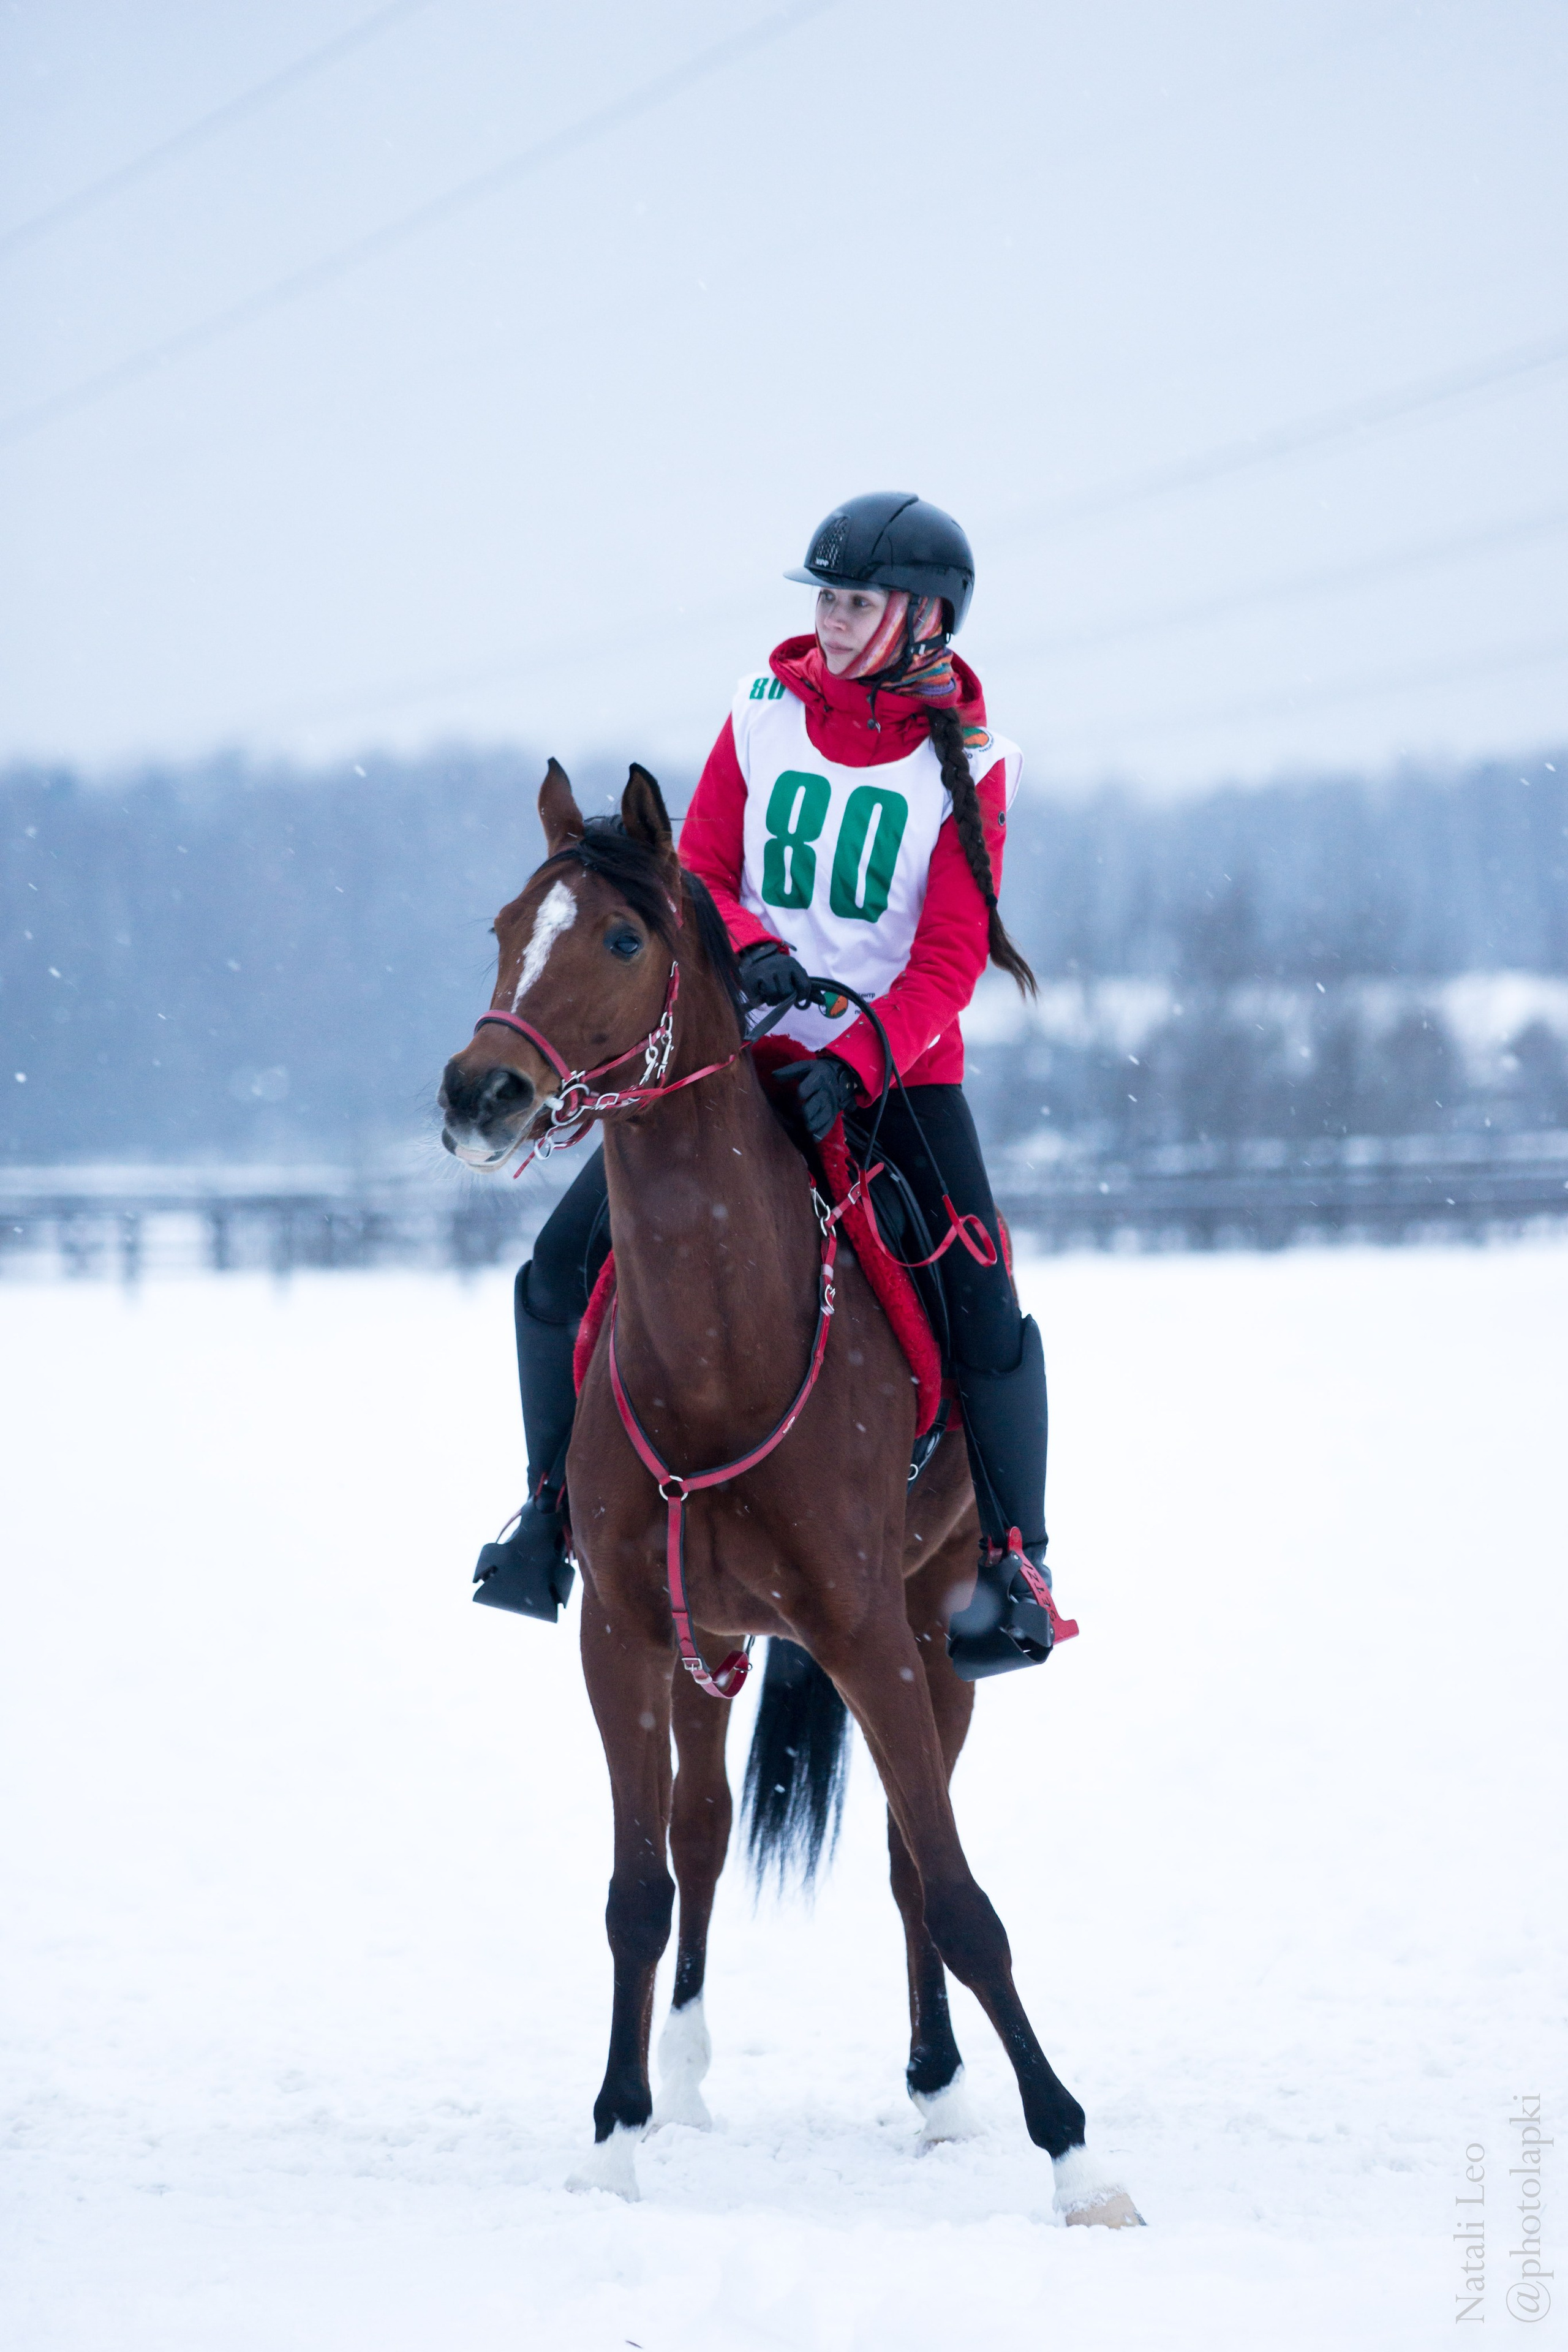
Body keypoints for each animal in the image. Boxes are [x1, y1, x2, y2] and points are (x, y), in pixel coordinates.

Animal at [438, 759, 1141, 2227]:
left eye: (622, 939)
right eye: (505, 928)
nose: (480, 1093)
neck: (722, 1343)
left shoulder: (868, 1631)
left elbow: (959, 1896)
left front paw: (1078, 2162)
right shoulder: (621, 1634)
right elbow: (638, 1890)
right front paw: (617, 2135)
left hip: (932, 1629)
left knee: (908, 1862)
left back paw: (939, 2085)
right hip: (712, 1640)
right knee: (704, 1831)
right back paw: (692, 2072)